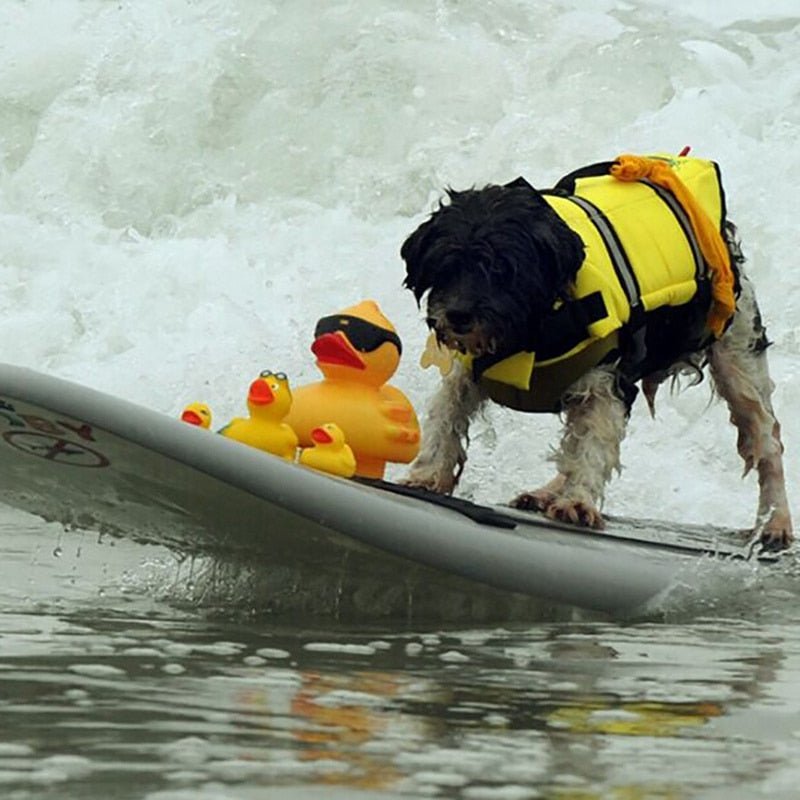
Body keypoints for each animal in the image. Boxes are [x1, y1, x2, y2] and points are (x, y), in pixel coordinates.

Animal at [400, 153, 792, 552]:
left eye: (503, 270)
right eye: (445, 266)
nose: (458, 316)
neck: (533, 330)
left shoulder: (606, 384)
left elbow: (592, 444)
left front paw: (577, 501)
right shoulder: (468, 371)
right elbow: (447, 413)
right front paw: (428, 474)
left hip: (737, 355)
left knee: (767, 438)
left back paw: (776, 522)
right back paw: (545, 492)